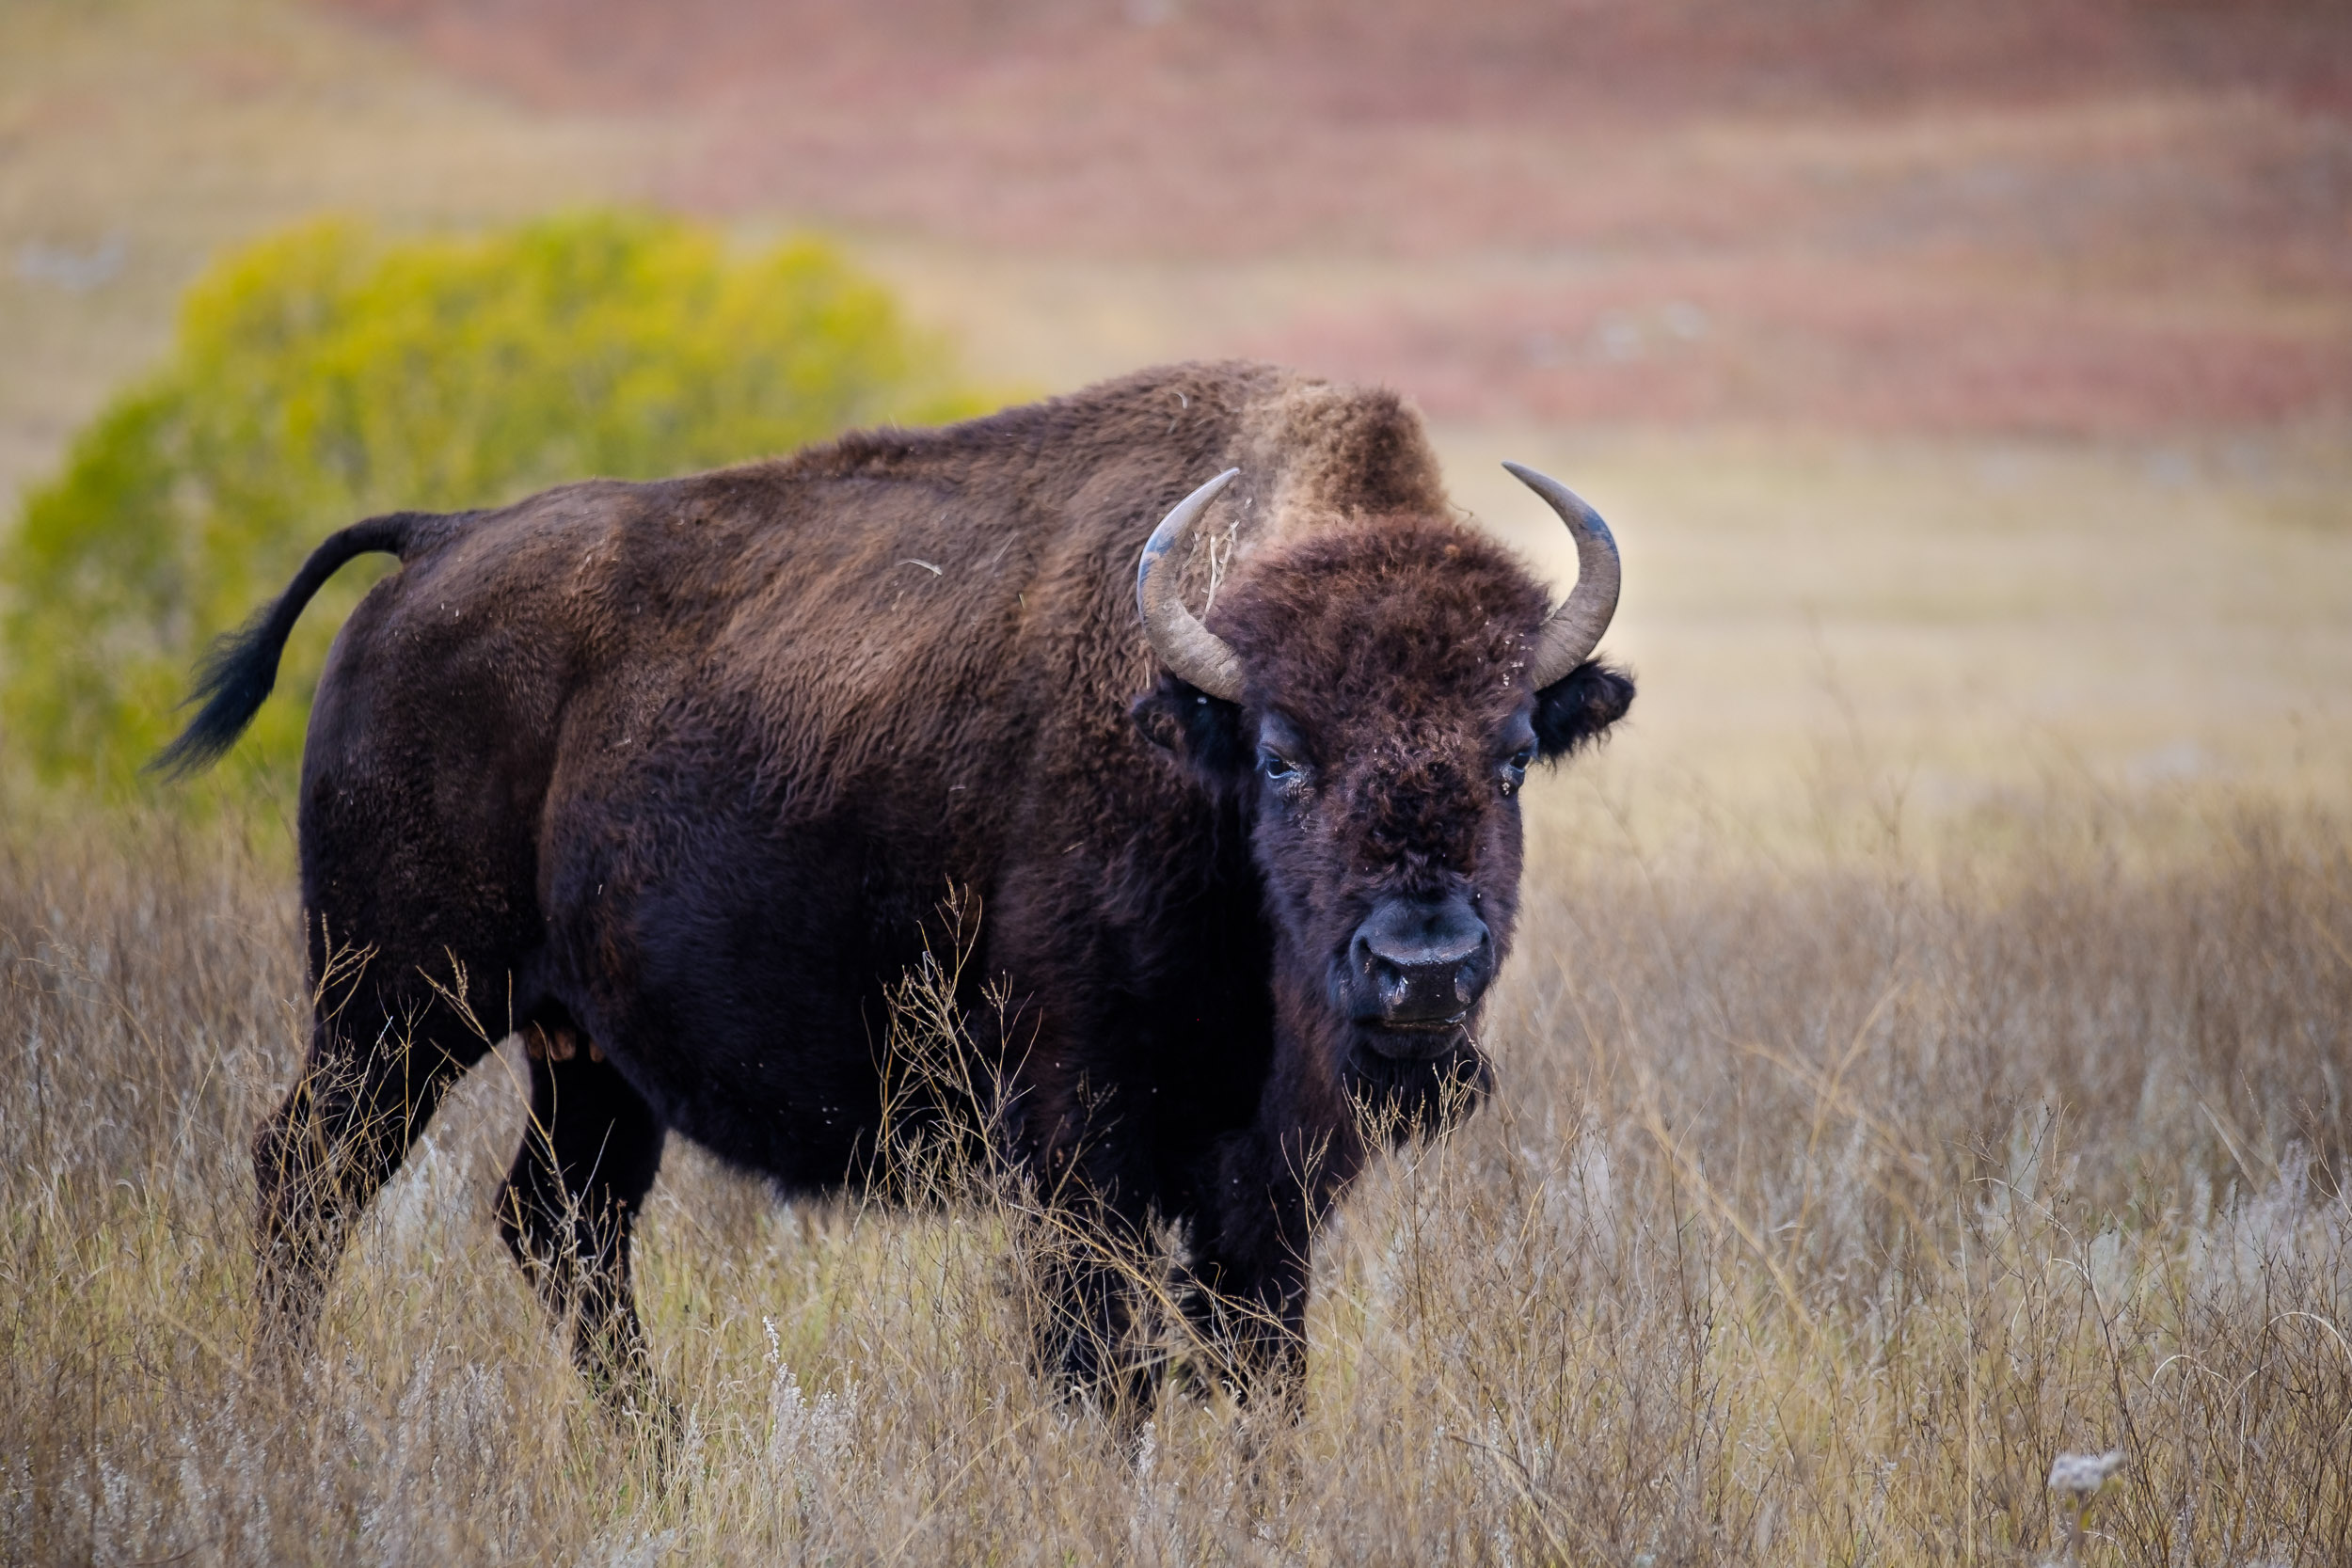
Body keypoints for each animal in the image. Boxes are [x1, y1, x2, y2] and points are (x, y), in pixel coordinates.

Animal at [166, 361, 1628, 1429]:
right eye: (1282, 752)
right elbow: (1103, 1358)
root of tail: (435, 544)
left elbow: (1255, 1365)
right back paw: (286, 1418)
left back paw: (662, 1453)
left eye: (1511, 751)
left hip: (584, 1054)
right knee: (306, 1180)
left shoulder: (1269, 1178)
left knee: (561, 1225)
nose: (1422, 964)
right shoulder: (1078, 1139)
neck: (1185, 736)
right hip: (396, 1006)